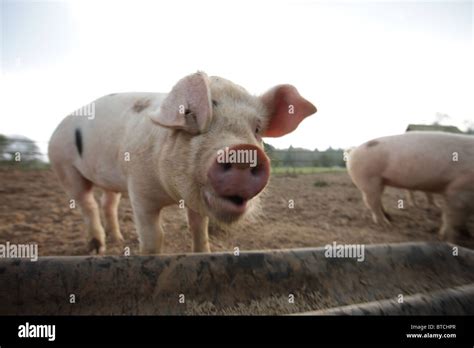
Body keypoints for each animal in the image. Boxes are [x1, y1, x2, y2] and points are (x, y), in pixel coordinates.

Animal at [48, 71, 316, 256]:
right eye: (192, 116)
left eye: (257, 129)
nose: (242, 151)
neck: (172, 194)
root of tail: (57, 129)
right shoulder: (139, 191)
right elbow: (154, 237)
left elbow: (199, 228)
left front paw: (203, 254)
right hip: (64, 166)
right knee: (88, 204)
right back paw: (97, 248)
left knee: (108, 204)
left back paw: (118, 241)